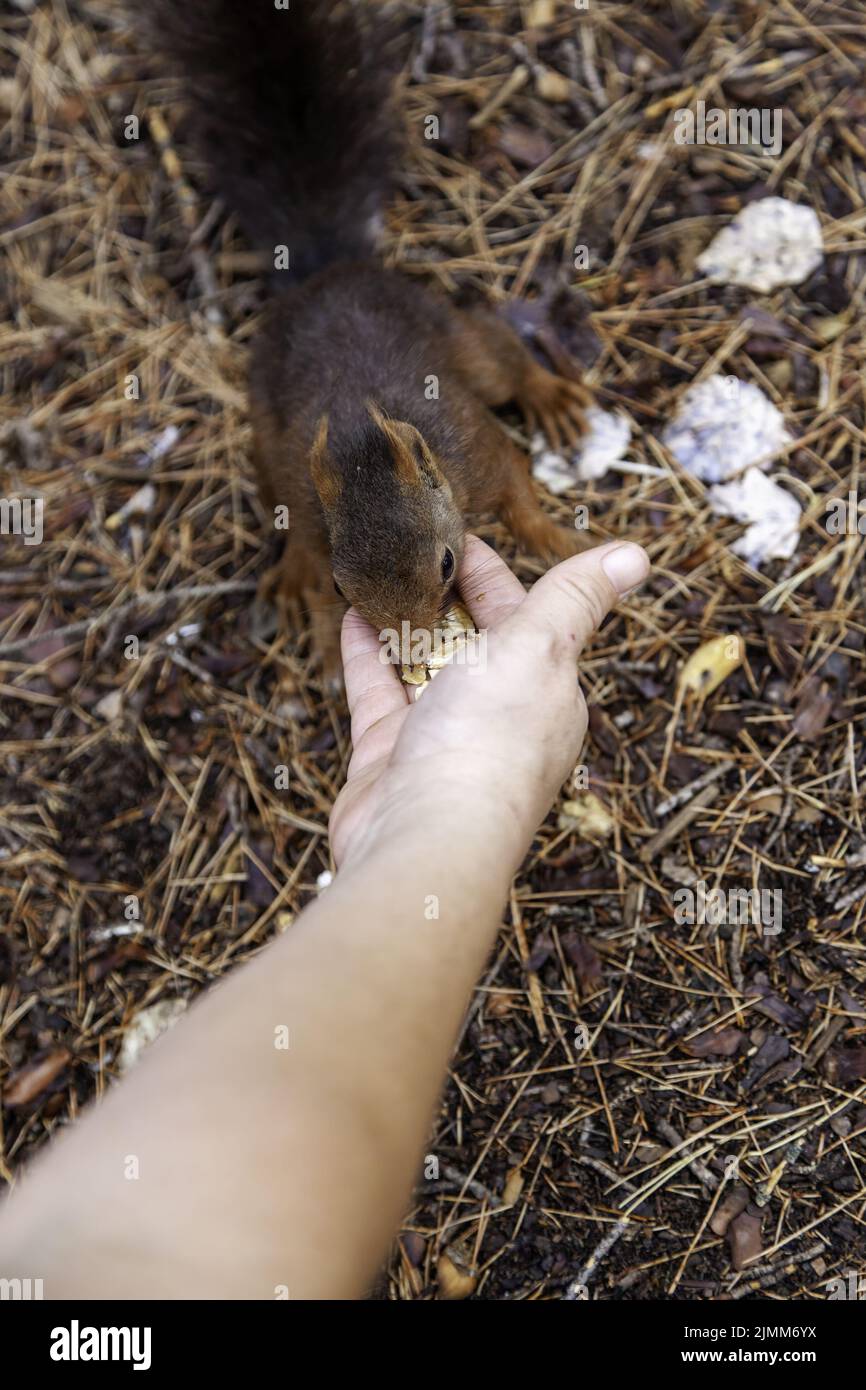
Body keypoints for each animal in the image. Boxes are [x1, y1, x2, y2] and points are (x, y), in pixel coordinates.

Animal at [145, 0, 592, 692]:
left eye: (446, 564)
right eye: (342, 585)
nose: (410, 647)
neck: (359, 438)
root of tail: (330, 271)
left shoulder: (476, 451)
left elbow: (518, 489)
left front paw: (549, 538)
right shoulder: (310, 509)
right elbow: (310, 553)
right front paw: (330, 644)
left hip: (450, 339)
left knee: (499, 358)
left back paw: (549, 398)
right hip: (264, 430)